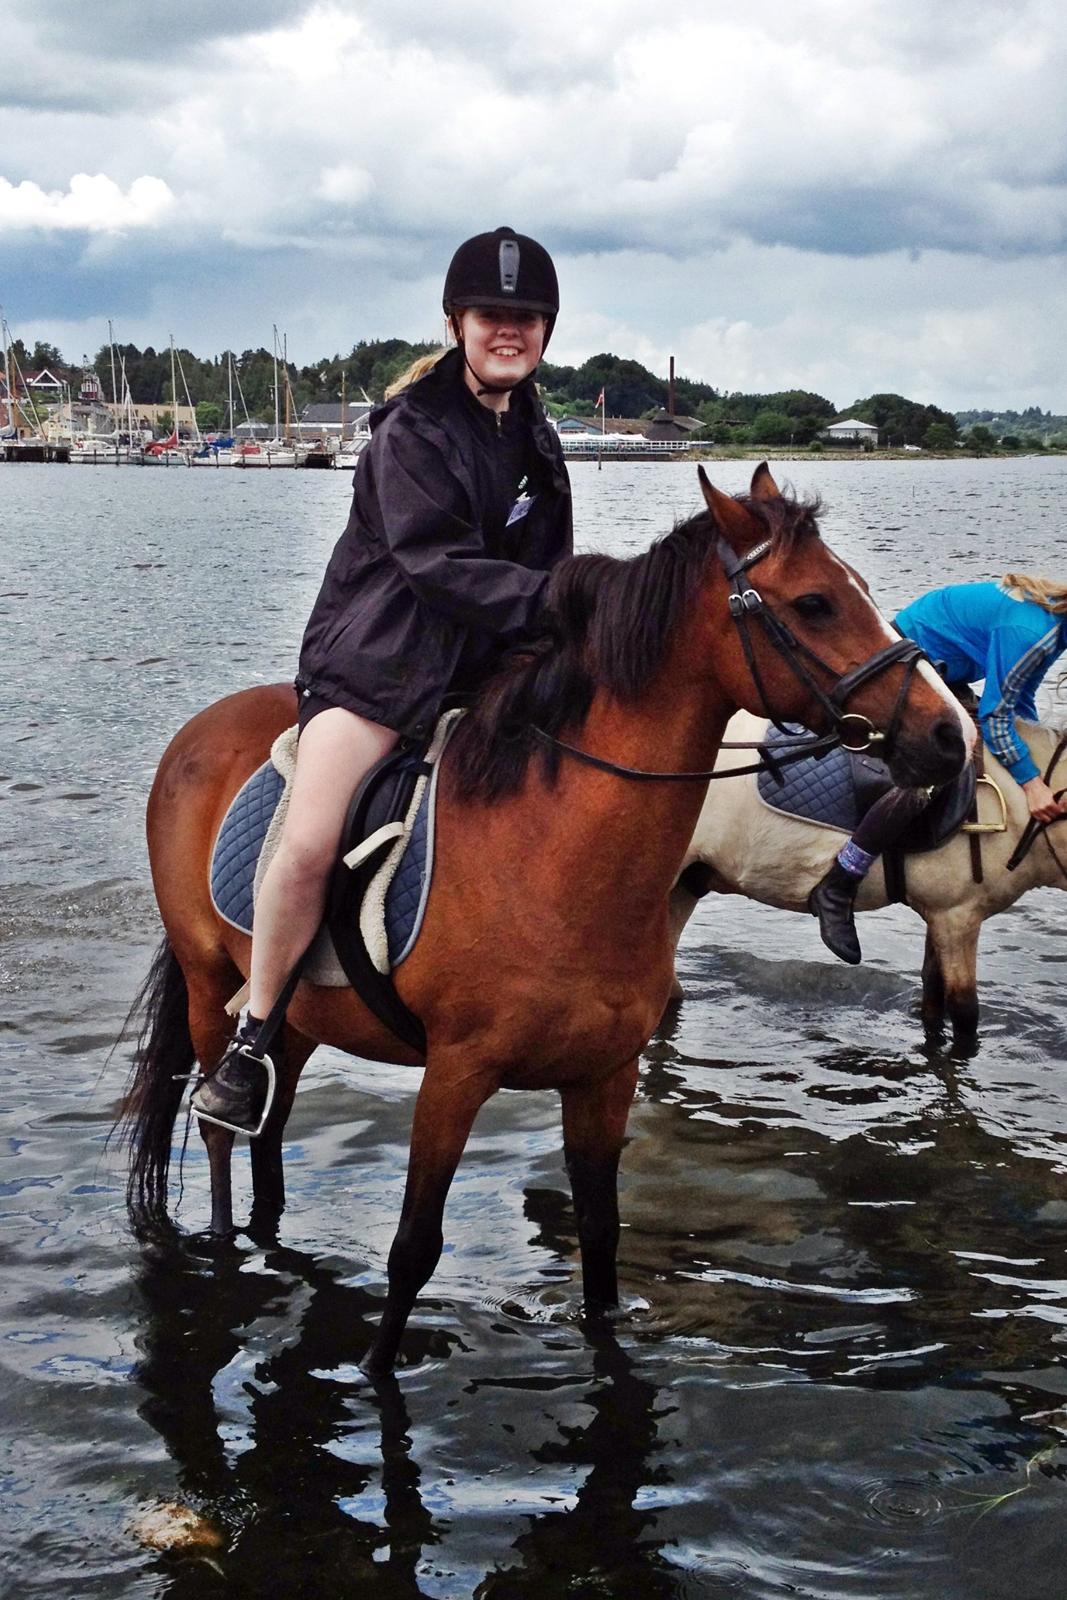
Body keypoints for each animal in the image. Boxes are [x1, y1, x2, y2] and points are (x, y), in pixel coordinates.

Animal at [120, 467, 972, 1376]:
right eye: (814, 603)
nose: (946, 735)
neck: (553, 855)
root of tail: (197, 733)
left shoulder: (605, 1075)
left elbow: (599, 1239)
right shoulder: (455, 1074)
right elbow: (412, 1249)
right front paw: (379, 1371)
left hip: (303, 1012)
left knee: (271, 1129)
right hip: (211, 985)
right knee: (220, 1132)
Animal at [671, 710, 1062, 1036]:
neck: (1014, 803)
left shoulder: (940, 915)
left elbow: (932, 998)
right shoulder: (958, 916)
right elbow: (965, 1012)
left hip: (685, 883)